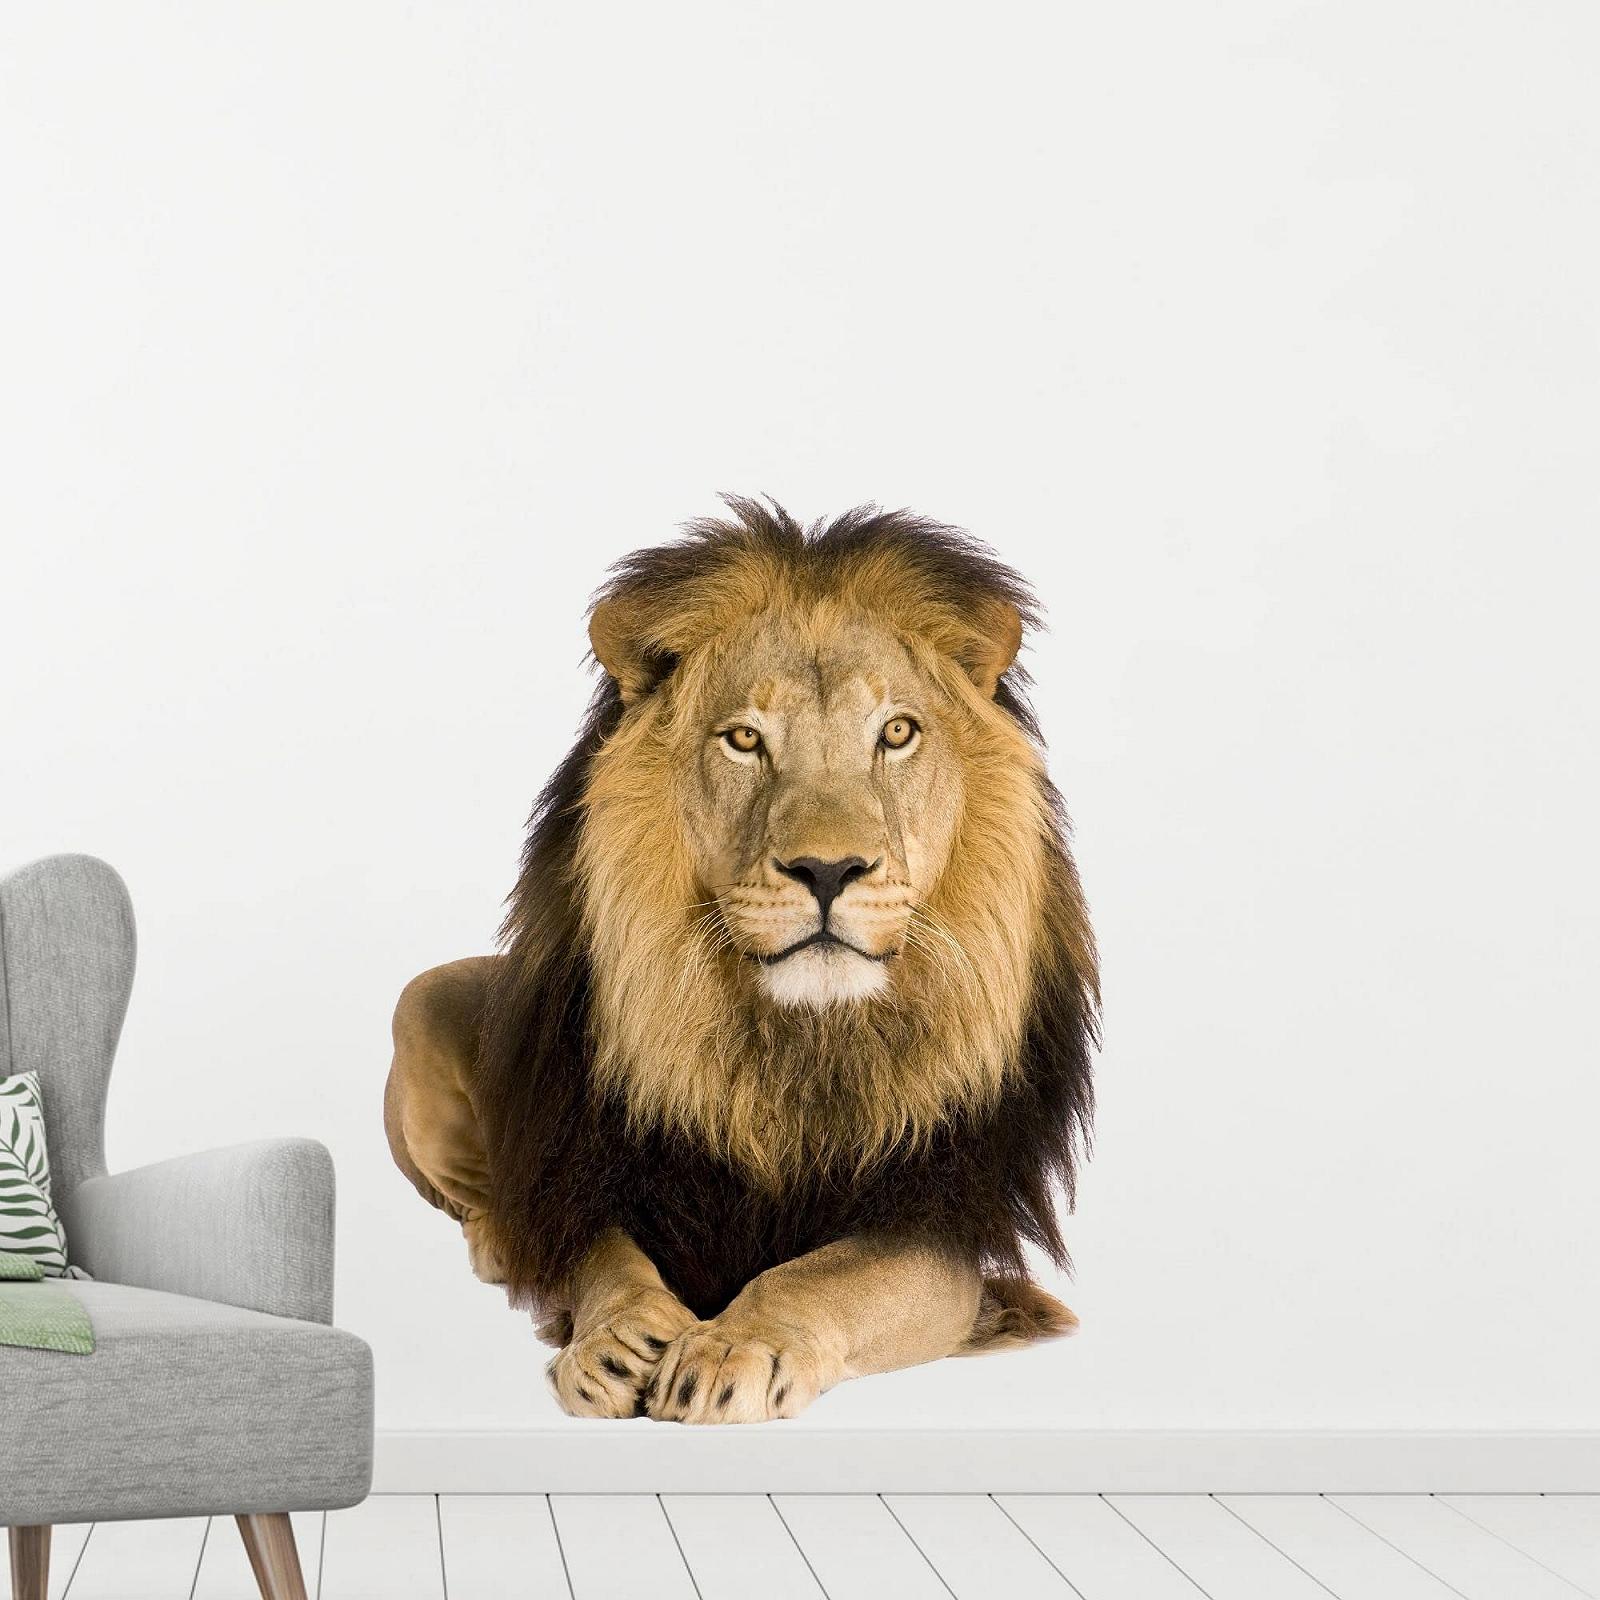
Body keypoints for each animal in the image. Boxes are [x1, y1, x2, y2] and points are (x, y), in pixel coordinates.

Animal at [384, 497, 1098, 1423]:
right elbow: (604, 1260)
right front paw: (616, 1338)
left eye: (897, 733)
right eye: (745, 740)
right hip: (423, 996)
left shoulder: (937, 1227)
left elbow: (820, 1277)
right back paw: (507, 1243)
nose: (827, 870)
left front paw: (729, 1347)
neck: (793, 1042)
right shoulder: (590, 1172)